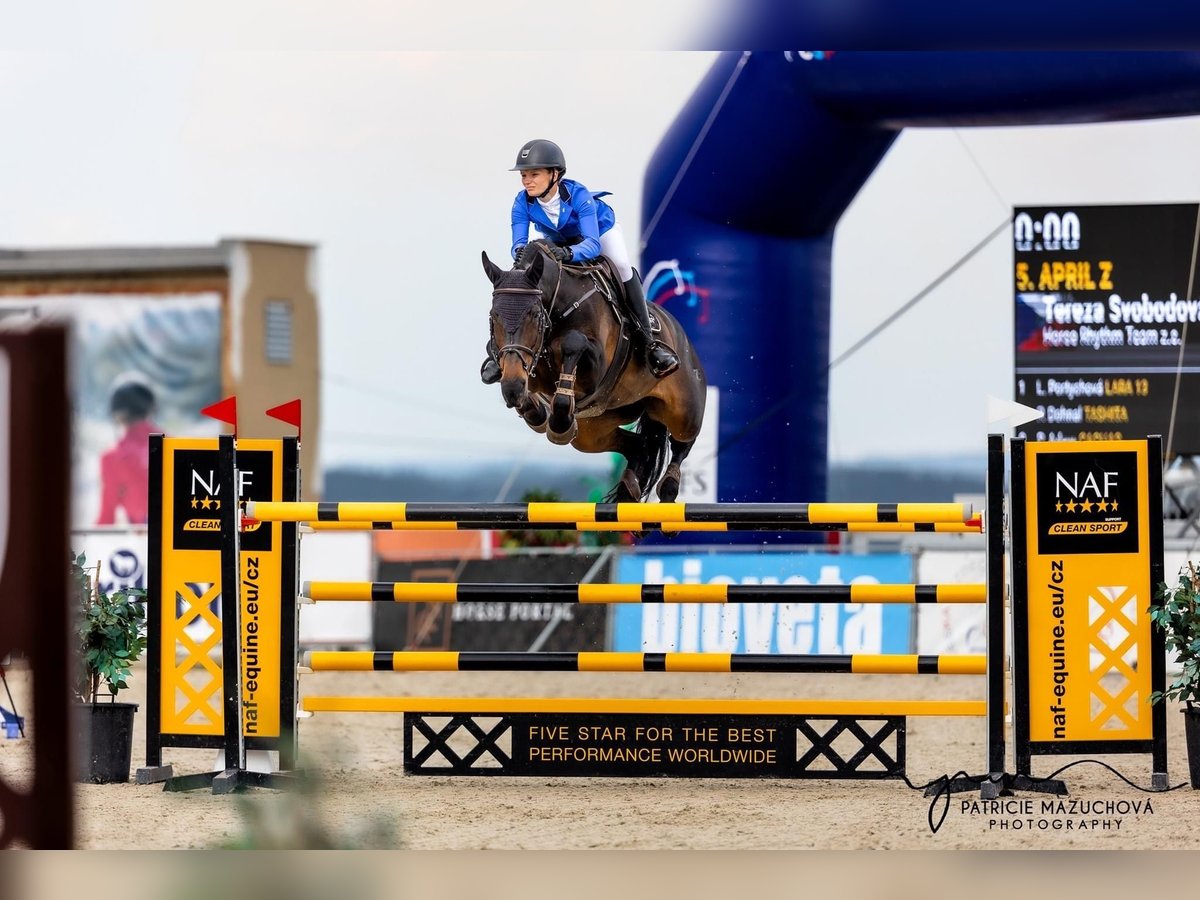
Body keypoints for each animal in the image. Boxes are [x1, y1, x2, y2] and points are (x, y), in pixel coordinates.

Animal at [477, 243, 700, 504]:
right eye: (494, 316)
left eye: (534, 314)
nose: (512, 389)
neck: (559, 304)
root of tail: (681, 333)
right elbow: (516, 371)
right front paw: (534, 410)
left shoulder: (596, 369)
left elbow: (573, 342)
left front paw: (559, 421)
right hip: (594, 431)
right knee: (638, 445)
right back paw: (628, 490)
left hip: (683, 411)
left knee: (682, 442)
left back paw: (669, 488)